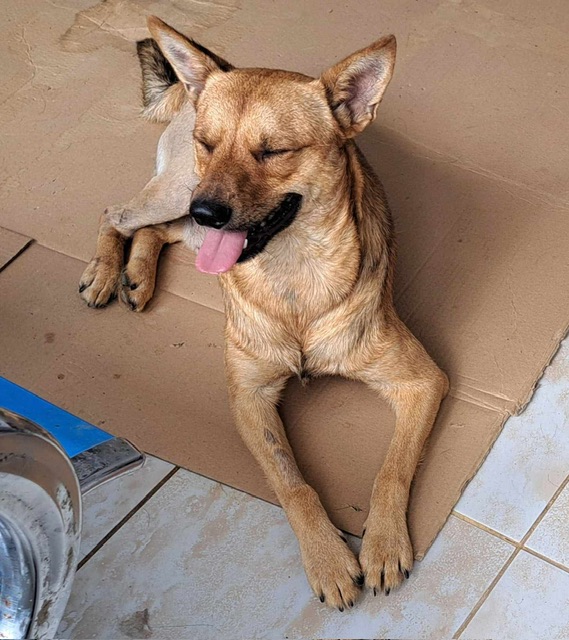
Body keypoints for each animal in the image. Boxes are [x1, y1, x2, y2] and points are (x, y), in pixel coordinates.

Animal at [80, 17, 449, 611]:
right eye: (208, 143)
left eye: (273, 151)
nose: (210, 209)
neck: (293, 274)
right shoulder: (249, 399)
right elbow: (293, 484)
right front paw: (328, 560)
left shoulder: (422, 383)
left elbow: (391, 470)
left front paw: (383, 544)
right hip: (176, 192)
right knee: (117, 213)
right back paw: (106, 272)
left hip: (183, 214)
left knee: (157, 231)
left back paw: (137, 275)